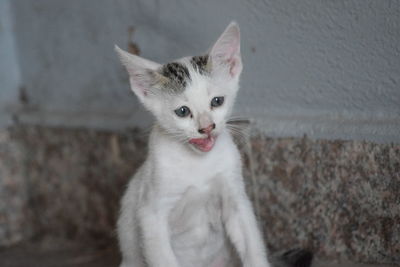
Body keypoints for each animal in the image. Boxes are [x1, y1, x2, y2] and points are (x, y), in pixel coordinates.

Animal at [115, 23, 272, 267]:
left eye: (217, 101)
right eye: (182, 111)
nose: (207, 127)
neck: (198, 165)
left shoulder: (235, 197)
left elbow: (251, 244)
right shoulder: (151, 214)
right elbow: (163, 257)